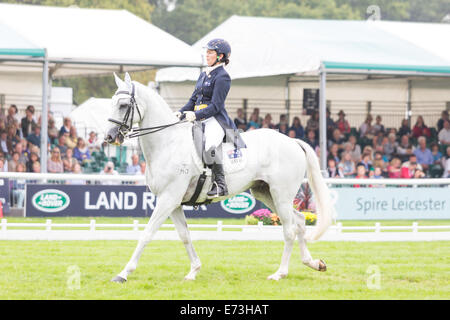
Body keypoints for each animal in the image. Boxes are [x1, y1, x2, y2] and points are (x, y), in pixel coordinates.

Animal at [107, 73, 336, 282]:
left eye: (124, 105)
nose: (110, 137)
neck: (168, 143)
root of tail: (292, 141)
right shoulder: (174, 203)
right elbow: (185, 236)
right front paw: (194, 271)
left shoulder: (168, 199)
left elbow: (147, 234)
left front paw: (123, 274)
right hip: (265, 192)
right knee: (299, 221)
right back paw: (313, 263)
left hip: (281, 194)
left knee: (289, 230)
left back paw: (280, 273)